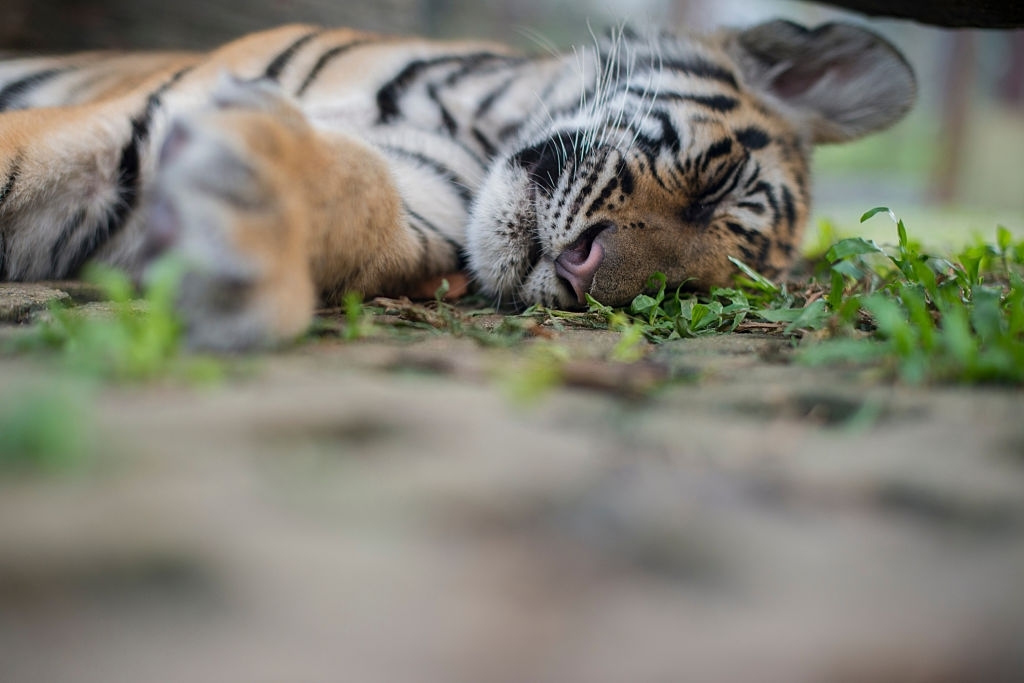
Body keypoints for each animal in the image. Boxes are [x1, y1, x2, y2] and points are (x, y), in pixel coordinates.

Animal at [0, 20, 915, 349]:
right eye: (713, 183)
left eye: (672, 292)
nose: (582, 269)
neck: (477, 133)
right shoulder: (121, 127)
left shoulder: (417, 192)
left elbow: (357, 189)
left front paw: (241, 226)